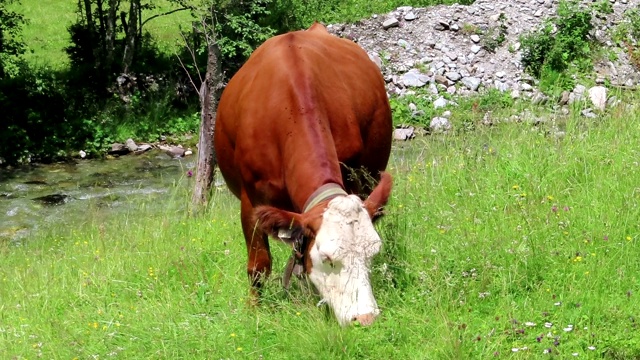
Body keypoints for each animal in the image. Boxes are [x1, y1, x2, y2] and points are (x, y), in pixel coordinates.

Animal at [215, 22, 392, 326]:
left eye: (373, 254)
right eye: (328, 258)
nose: (366, 318)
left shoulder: (355, 178)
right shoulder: (251, 201)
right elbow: (258, 265)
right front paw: (255, 311)